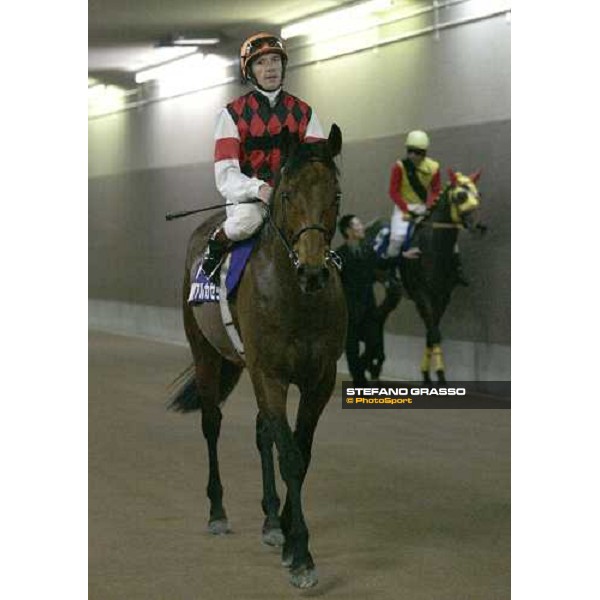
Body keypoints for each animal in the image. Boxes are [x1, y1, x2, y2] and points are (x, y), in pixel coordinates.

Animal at [169, 124, 346, 588]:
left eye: (335, 194)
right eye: (287, 194)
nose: (313, 271)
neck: (296, 298)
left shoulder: (318, 380)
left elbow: (298, 450)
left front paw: (284, 531)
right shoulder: (270, 374)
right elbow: (291, 457)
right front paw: (301, 554)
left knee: (262, 432)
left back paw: (269, 520)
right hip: (206, 354)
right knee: (212, 423)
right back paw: (217, 512)